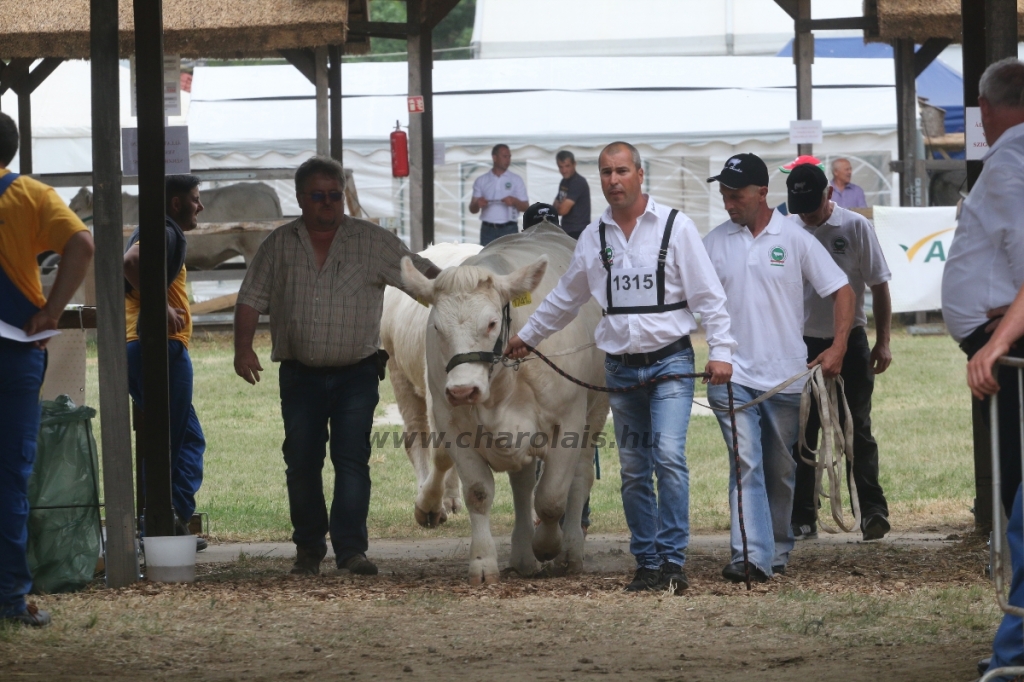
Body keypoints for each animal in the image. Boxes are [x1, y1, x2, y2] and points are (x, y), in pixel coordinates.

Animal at [399, 223, 606, 585]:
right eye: (436, 327)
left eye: (492, 323)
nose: (463, 390)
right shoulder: (453, 425)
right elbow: (479, 493)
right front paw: (483, 562)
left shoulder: (567, 423)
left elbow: (551, 498)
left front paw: (548, 545)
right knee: (522, 485)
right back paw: (523, 554)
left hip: (595, 412)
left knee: (580, 478)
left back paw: (569, 549)